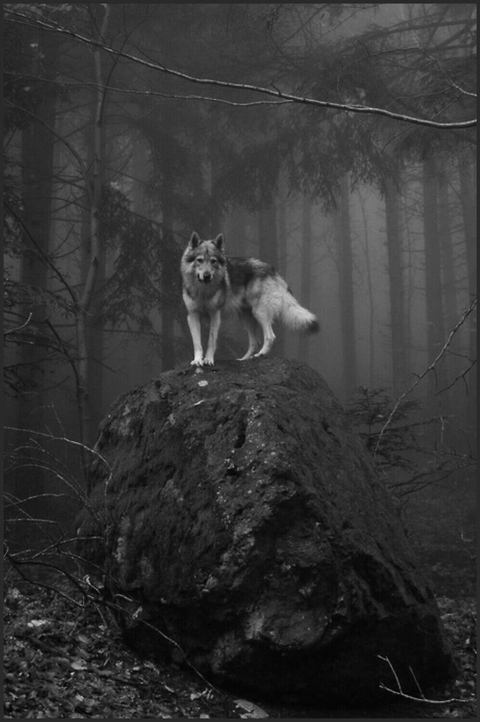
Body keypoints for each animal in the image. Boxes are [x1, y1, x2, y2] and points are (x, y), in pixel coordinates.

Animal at [181, 231, 319, 366]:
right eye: (199, 260)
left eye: (213, 261)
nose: (206, 276)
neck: (202, 290)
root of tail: (272, 269)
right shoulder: (192, 315)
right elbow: (197, 343)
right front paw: (197, 360)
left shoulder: (215, 315)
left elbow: (211, 341)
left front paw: (209, 360)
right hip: (245, 318)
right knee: (255, 342)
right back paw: (244, 360)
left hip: (260, 312)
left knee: (270, 336)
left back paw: (260, 354)